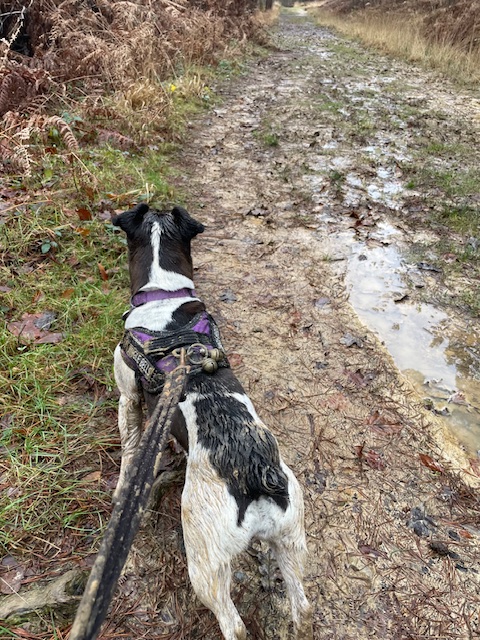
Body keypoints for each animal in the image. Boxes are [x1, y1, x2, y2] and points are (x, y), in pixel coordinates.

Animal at [111, 205, 314, 640]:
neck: (165, 295)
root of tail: (257, 472)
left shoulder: (128, 397)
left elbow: (130, 450)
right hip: (291, 540)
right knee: (302, 605)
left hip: (206, 560)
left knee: (232, 623)